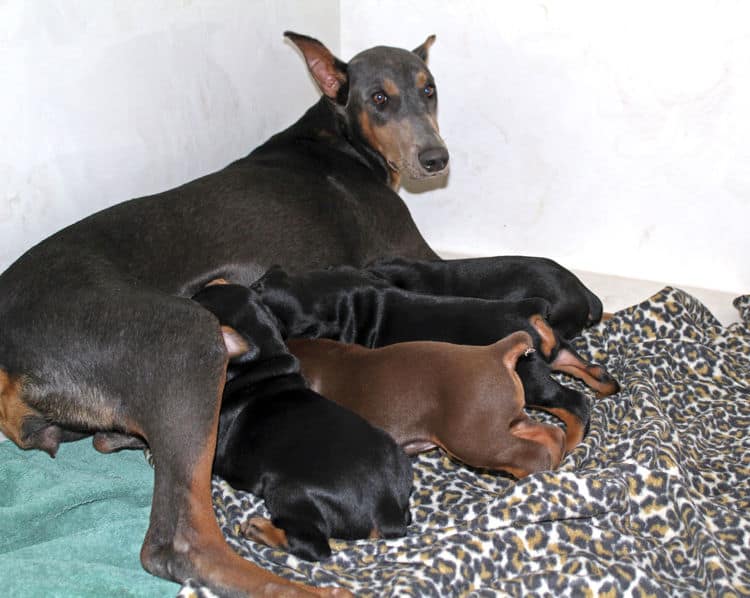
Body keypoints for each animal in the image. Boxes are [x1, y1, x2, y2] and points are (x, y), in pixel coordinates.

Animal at [191, 284, 414, 564]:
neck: (264, 361)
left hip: (286, 489)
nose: (190, 293)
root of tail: (388, 509)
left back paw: (260, 529)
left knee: (313, 546)